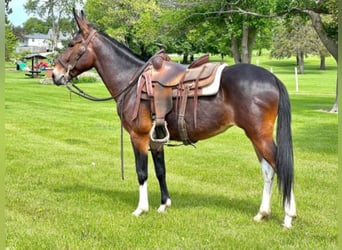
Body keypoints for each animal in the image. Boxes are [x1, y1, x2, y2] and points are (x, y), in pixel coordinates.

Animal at [52, 9, 296, 229]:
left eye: (71, 44)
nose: (55, 74)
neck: (132, 80)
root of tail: (273, 78)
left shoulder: (139, 137)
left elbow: (142, 172)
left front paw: (141, 209)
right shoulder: (155, 139)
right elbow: (160, 171)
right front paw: (164, 205)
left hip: (259, 135)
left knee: (281, 167)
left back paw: (288, 217)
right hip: (255, 137)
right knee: (268, 171)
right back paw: (262, 213)